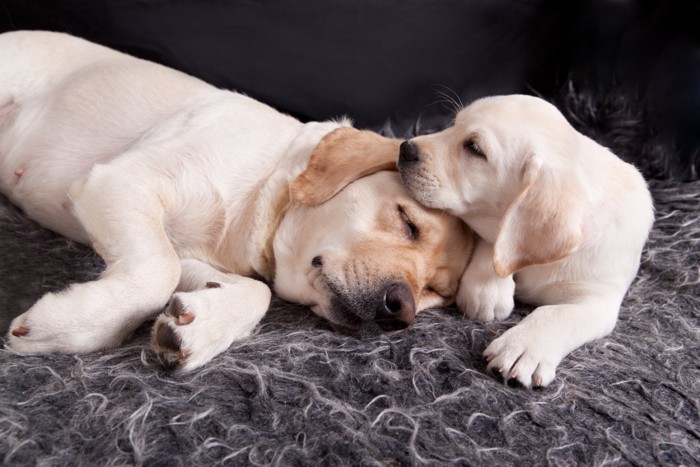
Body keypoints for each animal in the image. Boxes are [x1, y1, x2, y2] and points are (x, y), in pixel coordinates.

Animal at [0, 31, 474, 372]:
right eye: (407, 220)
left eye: (435, 292)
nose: (401, 311)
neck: (264, 189)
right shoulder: (121, 183)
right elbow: (156, 272)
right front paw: (64, 327)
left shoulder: (184, 248)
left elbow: (255, 291)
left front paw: (201, 325)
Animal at [400, 94, 656, 388]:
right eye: (454, 124)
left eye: (474, 148)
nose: (405, 148)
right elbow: (498, 240)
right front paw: (487, 289)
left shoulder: (600, 298)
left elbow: (557, 313)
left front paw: (522, 347)